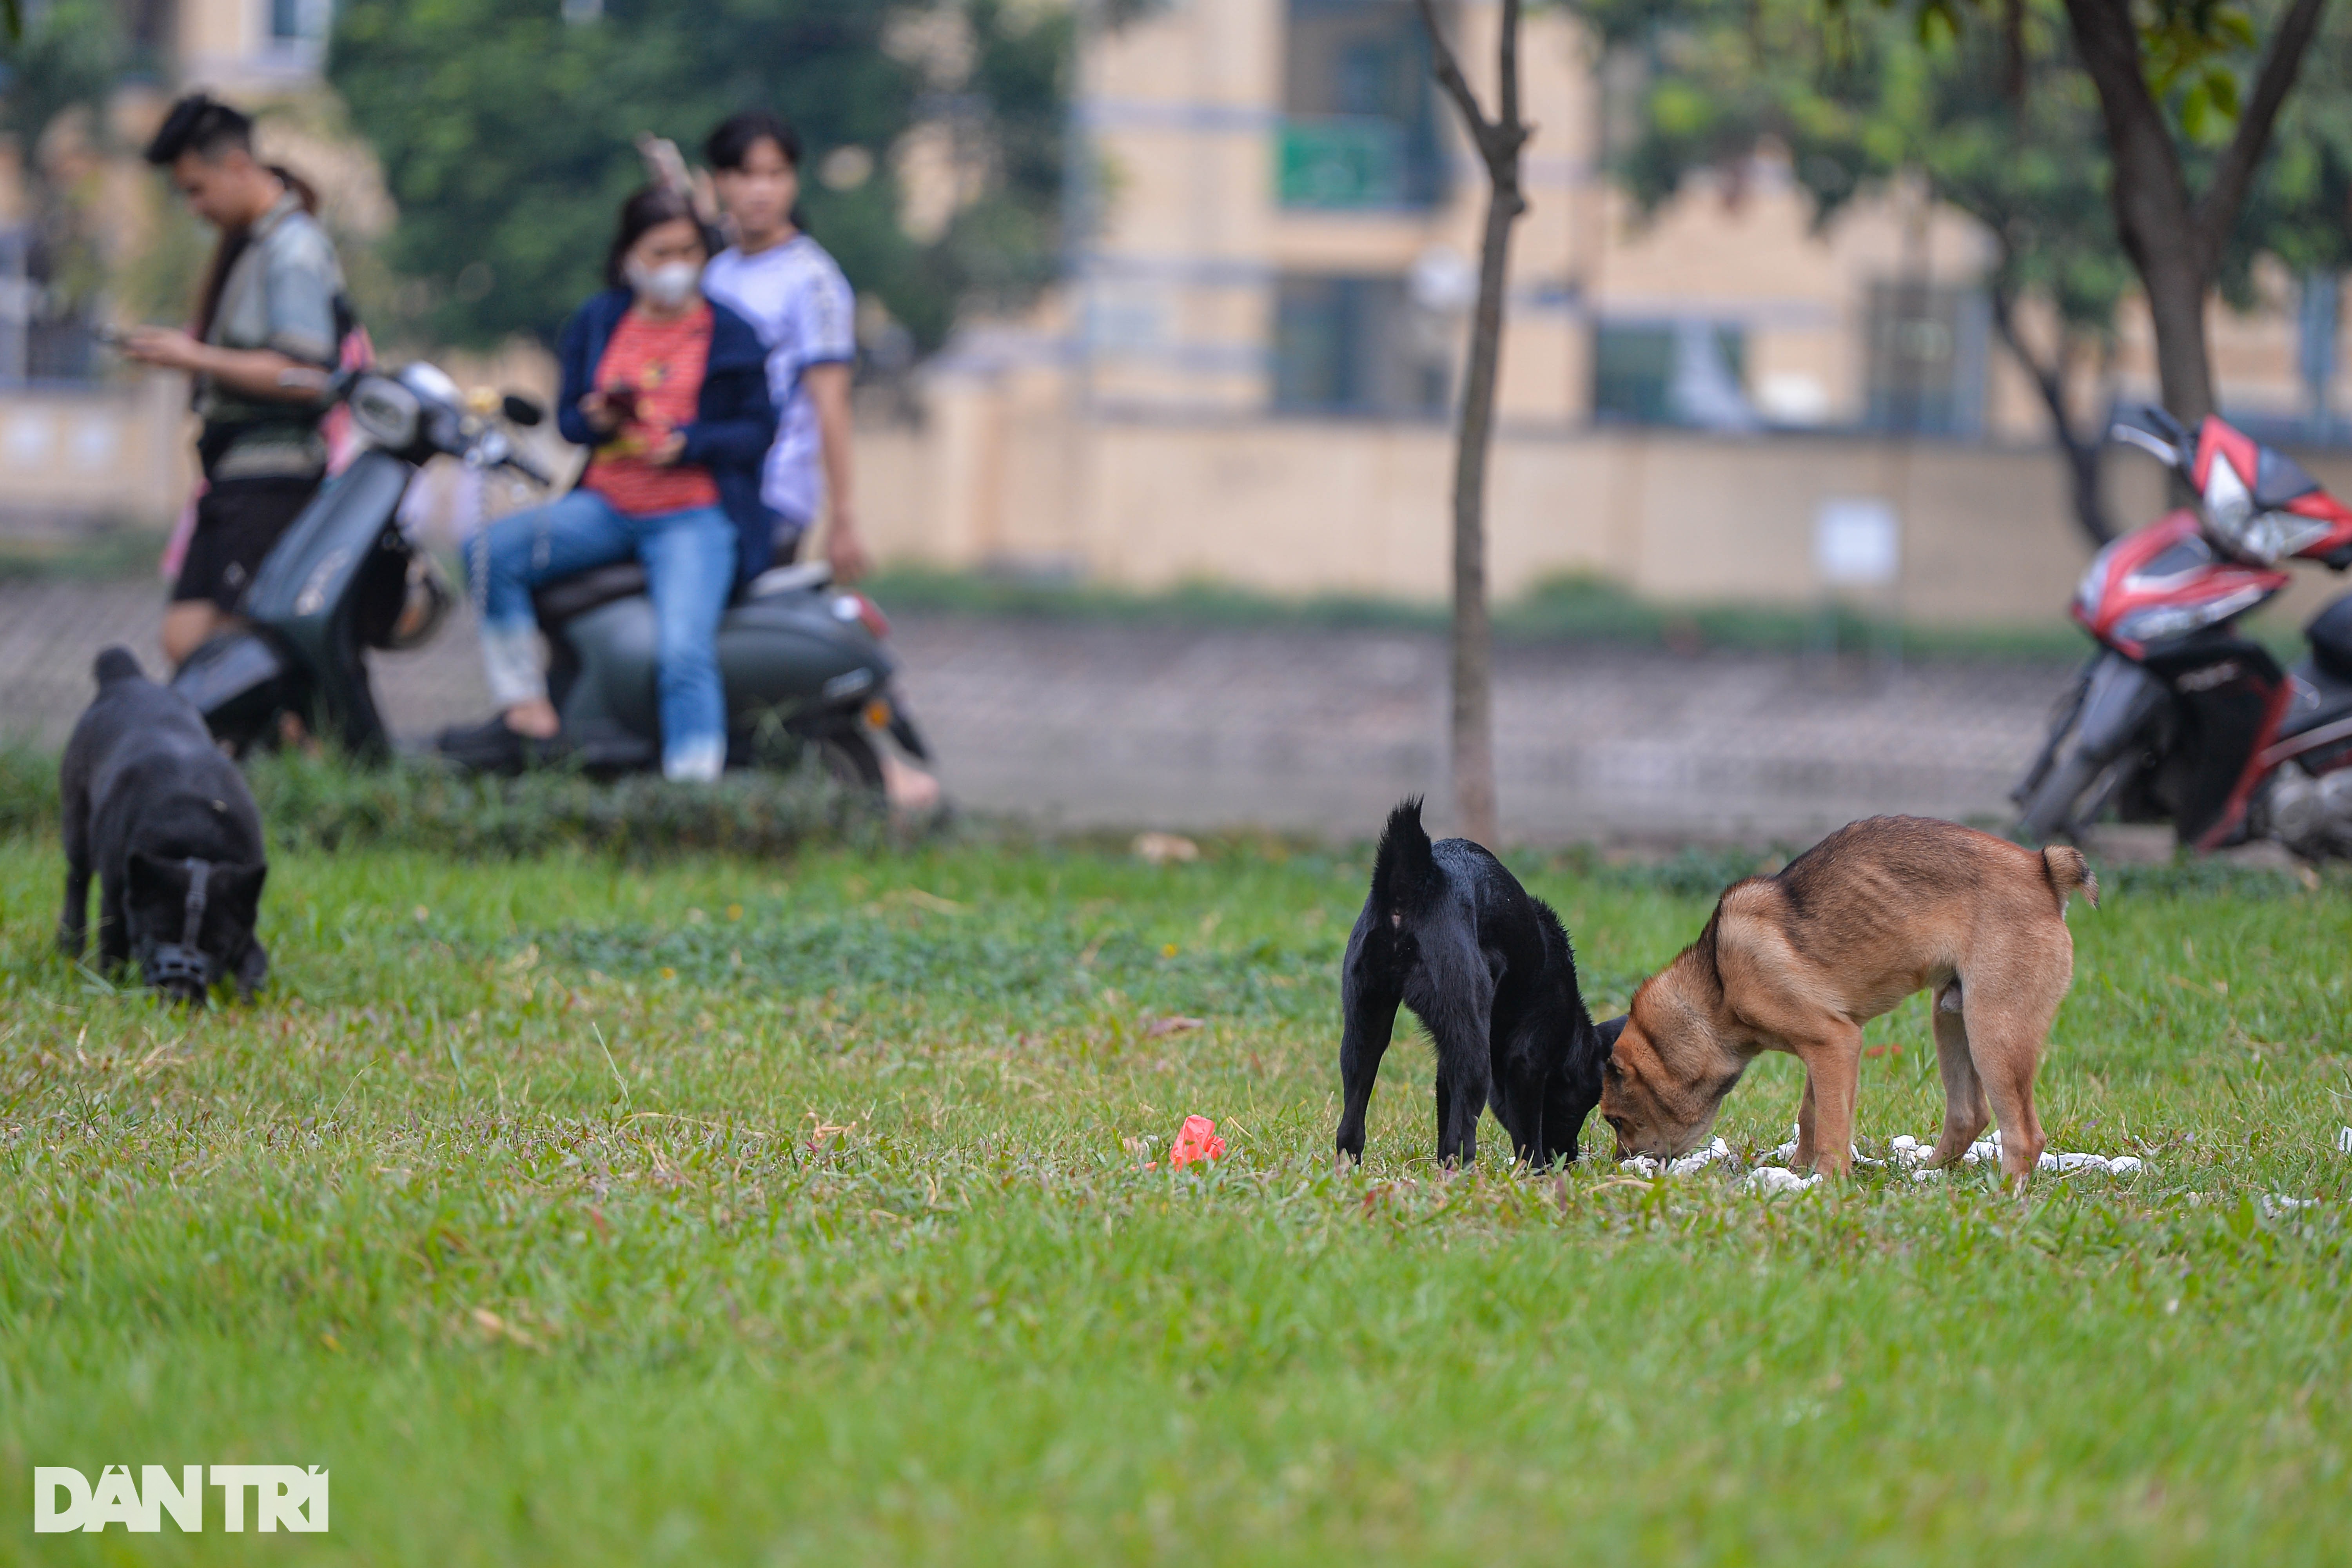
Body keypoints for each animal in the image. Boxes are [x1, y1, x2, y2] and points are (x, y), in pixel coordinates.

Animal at [56, 653, 269, 1006]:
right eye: (161, 934)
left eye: (216, 946)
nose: (181, 994)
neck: (196, 841)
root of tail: (125, 678)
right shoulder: (116, 897)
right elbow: (113, 946)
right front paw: (111, 988)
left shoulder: (243, 912)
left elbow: (255, 960)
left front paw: (246, 995)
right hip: (77, 827)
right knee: (77, 880)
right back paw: (69, 947)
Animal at [1336, 804, 1628, 1171]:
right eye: (1585, 1102)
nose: (1570, 1159)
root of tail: (1418, 878)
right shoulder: (1527, 1059)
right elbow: (1527, 1135)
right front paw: (1537, 1173)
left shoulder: (1447, 1060)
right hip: (1473, 1048)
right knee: (1462, 1138)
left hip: (1364, 1031)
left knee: (1351, 1127)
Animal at [1599, 818, 2098, 1185]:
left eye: (1616, 1120)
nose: (1620, 1163)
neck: (1716, 985)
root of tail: (2045, 869)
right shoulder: (1826, 1048)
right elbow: (1812, 1113)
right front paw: (1799, 1169)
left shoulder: (1835, 1042)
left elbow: (1831, 1126)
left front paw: (1824, 1180)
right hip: (1951, 1017)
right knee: (1969, 1113)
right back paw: (1927, 1177)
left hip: (1994, 1029)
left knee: (2024, 1135)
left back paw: (2006, 1197)